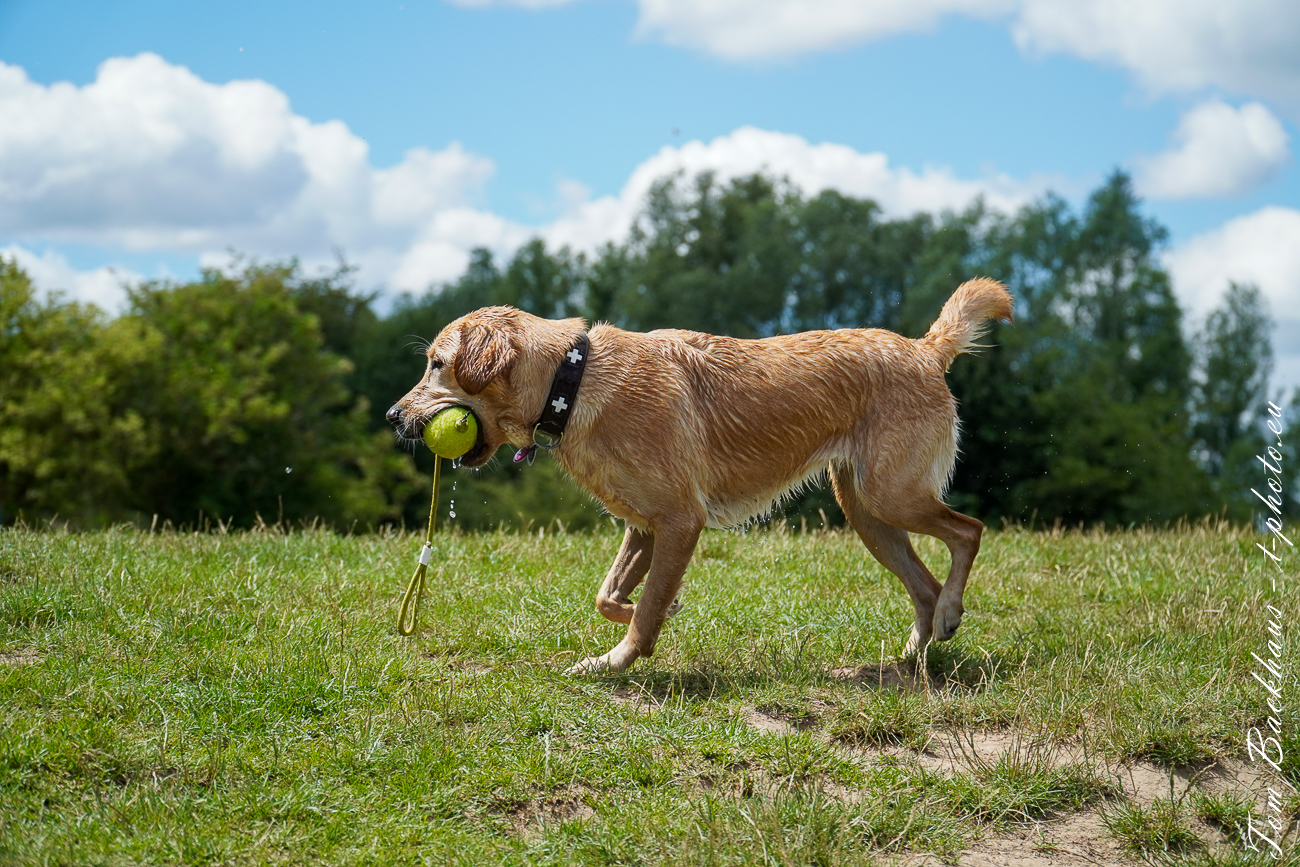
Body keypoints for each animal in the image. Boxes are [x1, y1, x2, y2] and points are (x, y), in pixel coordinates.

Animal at [384, 282, 1013, 675]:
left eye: (436, 364)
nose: (391, 416)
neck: (572, 378)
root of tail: (925, 350)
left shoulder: (681, 521)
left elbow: (644, 608)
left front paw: (616, 661)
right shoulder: (644, 526)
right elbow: (611, 596)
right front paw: (655, 615)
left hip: (892, 495)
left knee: (969, 531)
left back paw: (949, 615)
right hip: (868, 513)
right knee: (924, 584)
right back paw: (912, 654)